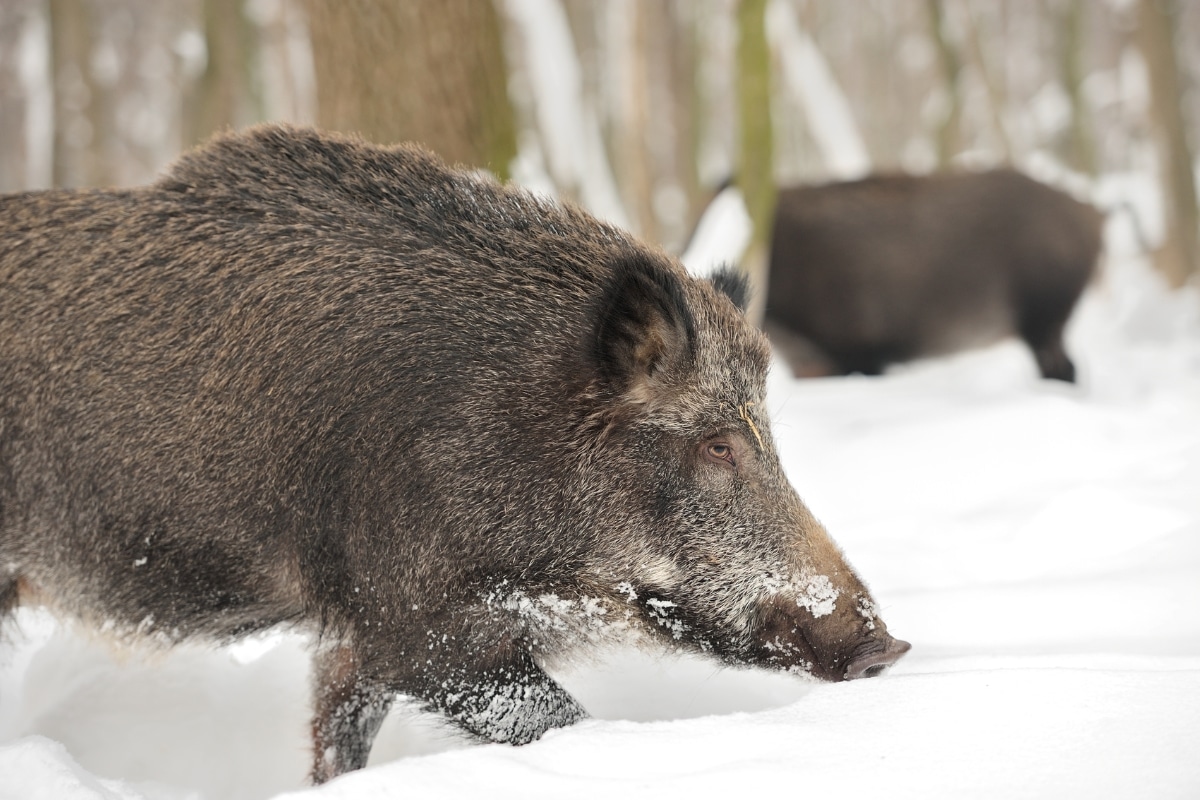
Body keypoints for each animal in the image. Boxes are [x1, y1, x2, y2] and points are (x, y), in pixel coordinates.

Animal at [0, 125, 908, 783]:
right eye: (717, 443)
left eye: (767, 436)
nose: (887, 648)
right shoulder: (414, 618)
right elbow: (554, 722)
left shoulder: (356, 628)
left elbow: (338, 737)